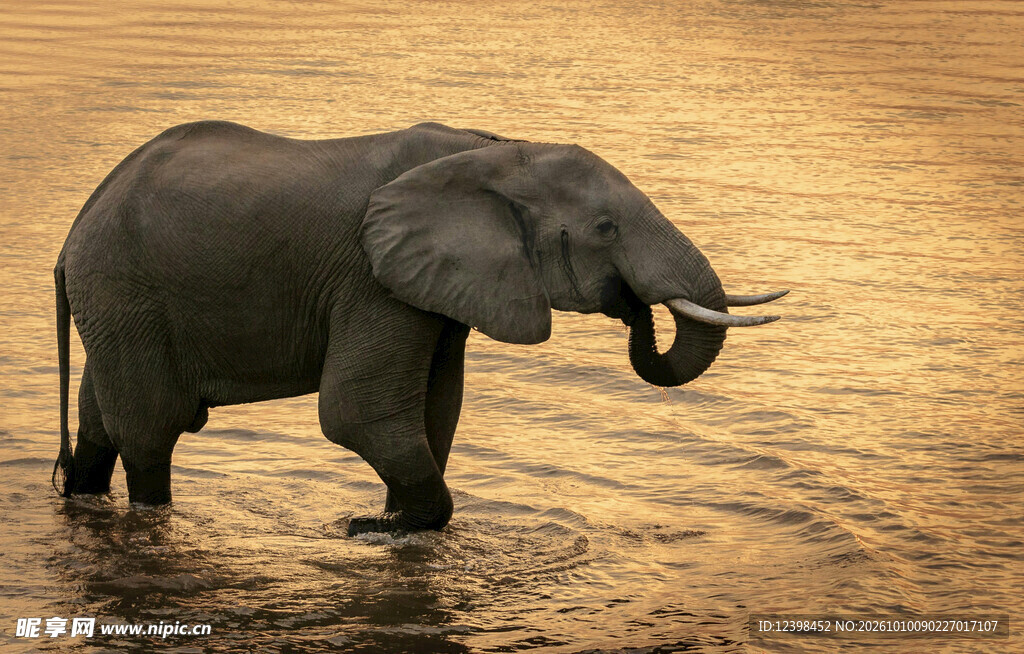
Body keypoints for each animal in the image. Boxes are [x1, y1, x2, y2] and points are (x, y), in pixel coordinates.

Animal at [52, 120, 786, 535]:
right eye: (605, 229)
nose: (634, 305)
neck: (495, 152)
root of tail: (75, 229)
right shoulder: (371, 275)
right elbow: (357, 410)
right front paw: (375, 528)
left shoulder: (439, 285)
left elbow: (439, 408)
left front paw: (389, 521)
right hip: (124, 291)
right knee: (153, 429)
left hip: (114, 307)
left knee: (100, 422)